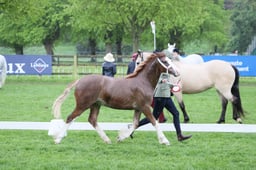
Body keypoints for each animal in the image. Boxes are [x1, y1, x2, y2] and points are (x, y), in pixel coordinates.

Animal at [49, 52, 179, 145]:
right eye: (165, 61)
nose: (177, 73)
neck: (143, 81)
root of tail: (80, 80)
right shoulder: (145, 107)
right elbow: (154, 122)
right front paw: (165, 141)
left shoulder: (138, 108)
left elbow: (135, 124)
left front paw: (120, 137)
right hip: (83, 105)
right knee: (70, 117)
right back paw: (58, 139)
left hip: (96, 105)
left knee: (92, 120)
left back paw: (107, 140)